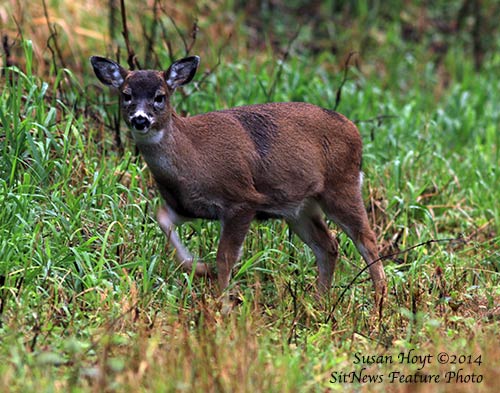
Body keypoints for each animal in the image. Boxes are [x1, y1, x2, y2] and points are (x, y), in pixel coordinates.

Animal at [90, 55, 386, 308]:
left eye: (159, 97)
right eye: (126, 95)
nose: (140, 119)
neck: (192, 157)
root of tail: (354, 130)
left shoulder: (241, 200)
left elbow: (225, 257)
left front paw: (223, 304)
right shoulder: (184, 205)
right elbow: (162, 218)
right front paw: (199, 268)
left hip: (342, 185)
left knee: (368, 240)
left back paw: (379, 304)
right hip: (300, 206)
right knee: (329, 246)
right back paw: (319, 302)